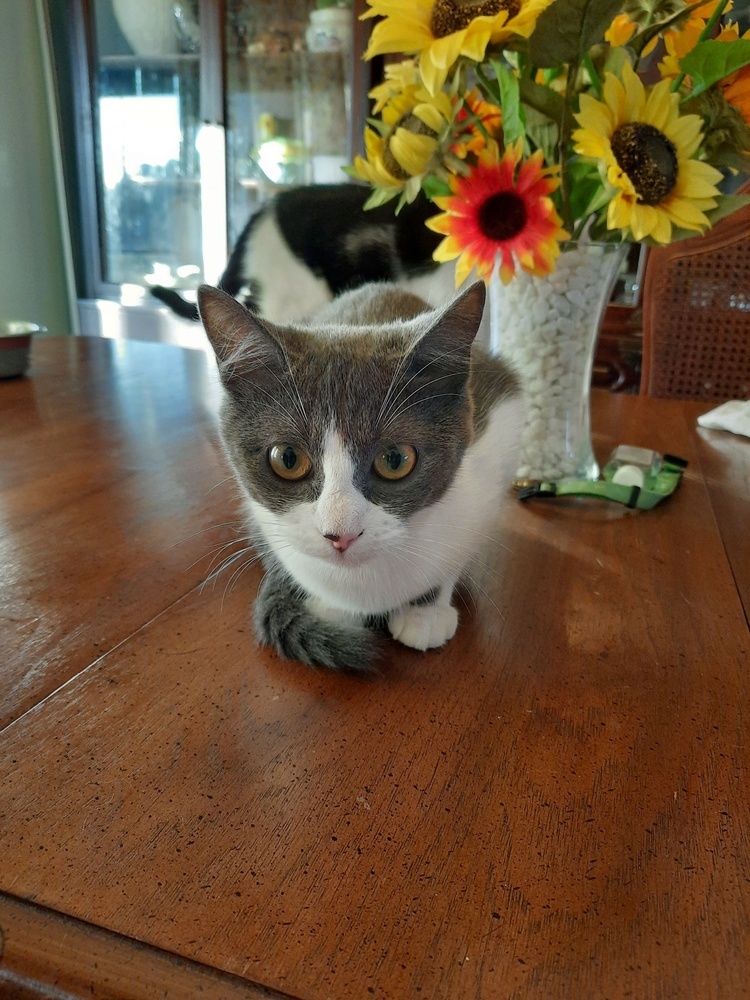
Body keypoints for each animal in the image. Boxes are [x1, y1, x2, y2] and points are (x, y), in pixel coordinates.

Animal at [198, 278, 524, 672]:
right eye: (287, 459)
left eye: (395, 459)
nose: (341, 535)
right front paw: (330, 607)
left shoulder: (499, 435)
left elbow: (452, 557)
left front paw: (426, 610)